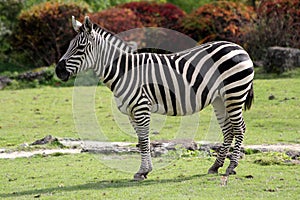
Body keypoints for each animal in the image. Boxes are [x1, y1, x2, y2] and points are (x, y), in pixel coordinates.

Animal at [55, 16, 253, 180]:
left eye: (80, 48)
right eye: (69, 45)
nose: (58, 71)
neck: (125, 72)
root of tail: (239, 48)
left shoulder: (141, 108)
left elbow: (143, 142)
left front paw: (142, 171)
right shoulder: (131, 112)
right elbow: (142, 141)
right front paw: (145, 170)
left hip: (234, 93)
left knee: (240, 128)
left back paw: (231, 167)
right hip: (220, 99)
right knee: (228, 130)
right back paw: (215, 166)